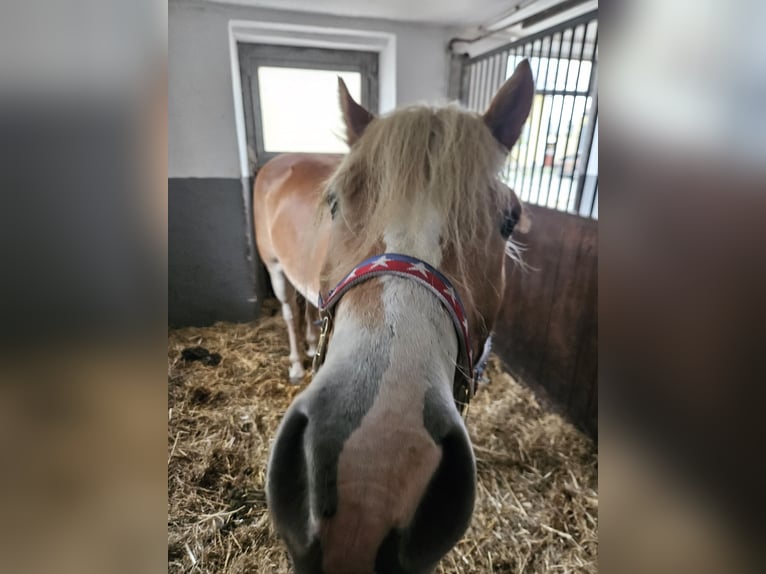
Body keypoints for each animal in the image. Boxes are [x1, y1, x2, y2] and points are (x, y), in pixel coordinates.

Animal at [252, 59, 536, 574]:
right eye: (334, 202)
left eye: (509, 220)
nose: (373, 476)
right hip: (276, 269)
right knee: (287, 312)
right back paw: (298, 363)